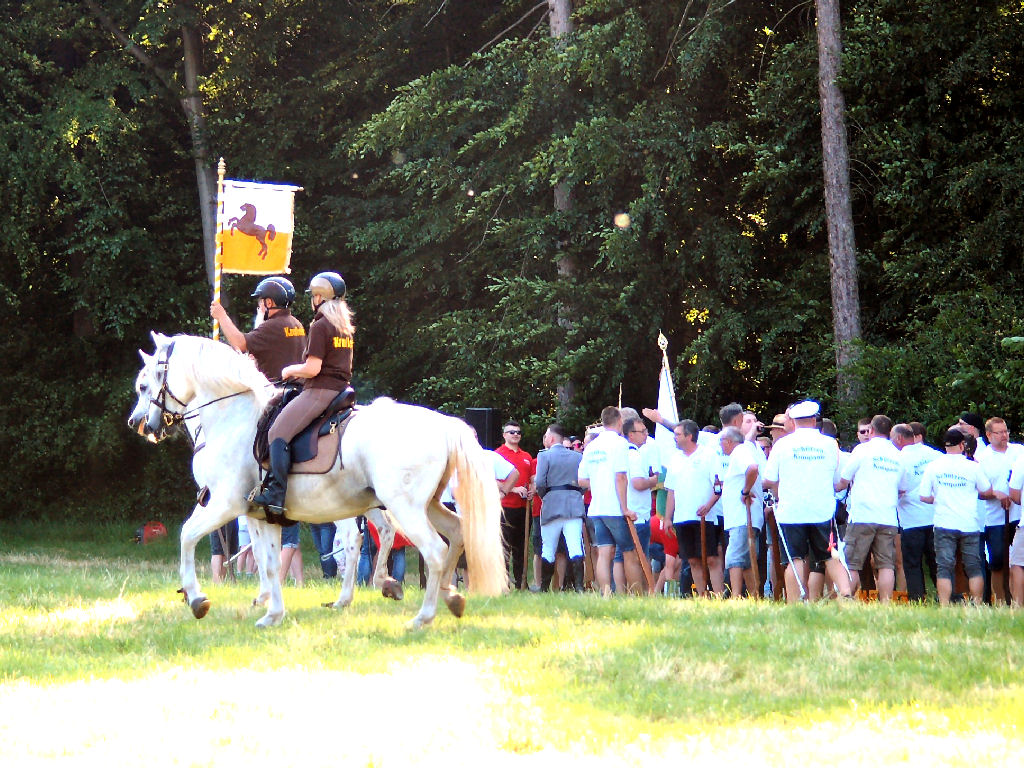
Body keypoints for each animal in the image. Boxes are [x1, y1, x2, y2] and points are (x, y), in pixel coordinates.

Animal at [128, 332, 507, 629]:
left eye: (144, 386)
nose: (139, 424)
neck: (232, 418)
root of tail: (443, 424)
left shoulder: (224, 504)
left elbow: (187, 536)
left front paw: (196, 599)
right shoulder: (260, 515)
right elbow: (268, 561)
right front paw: (272, 613)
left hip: (405, 508)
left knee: (430, 550)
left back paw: (421, 615)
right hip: (426, 505)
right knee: (454, 532)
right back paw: (448, 596)